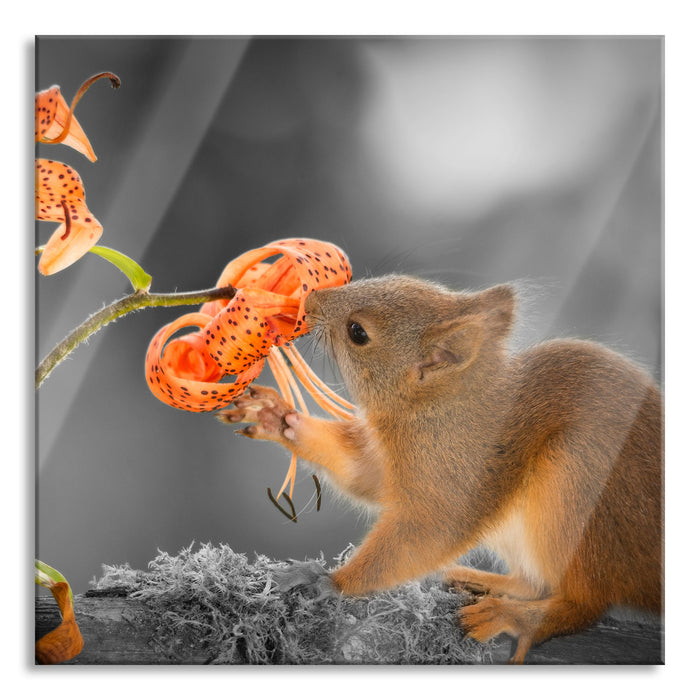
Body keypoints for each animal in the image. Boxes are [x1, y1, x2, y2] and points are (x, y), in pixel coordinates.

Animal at [219, 274, 663, 663]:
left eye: (357, 332)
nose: (309, 301)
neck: (438, 407)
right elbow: (366, 476)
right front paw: (278, 417)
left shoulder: (458, 475)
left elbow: (430, 531)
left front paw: (330, 582)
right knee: (533, 582)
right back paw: (483, 581)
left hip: (576, 486)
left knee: (583, 603)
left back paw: (517, 618)